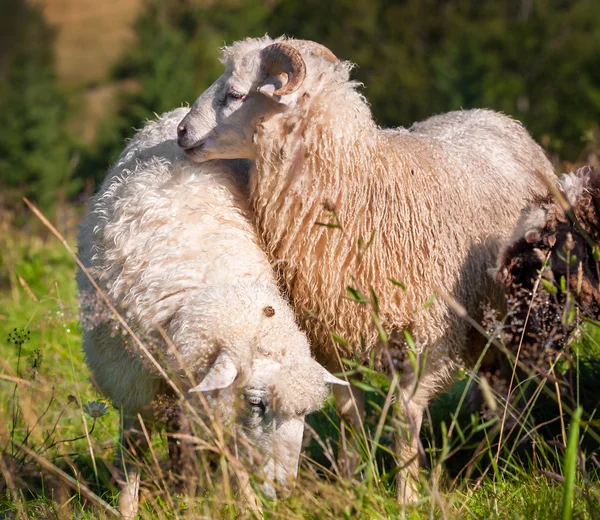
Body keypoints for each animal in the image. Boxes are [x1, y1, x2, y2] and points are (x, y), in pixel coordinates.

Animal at [78, 106, 346, 520]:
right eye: (256, 403)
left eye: (305, 415)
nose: (285, 491)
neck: (216, 288)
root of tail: (172, 112)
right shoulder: (131, 381)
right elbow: (134, 450)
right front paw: (127, 507)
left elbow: (231, 455)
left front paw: (247, 505)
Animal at [176, 35, 560, 500]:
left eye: (235, 94)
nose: (180, 132)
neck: (359, 188)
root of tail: (492, 114)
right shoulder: (332, 335)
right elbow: (348, 413)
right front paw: (350, 482)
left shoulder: (426, 338)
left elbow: (405, 417)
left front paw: (407, 495)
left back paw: (504, 451)